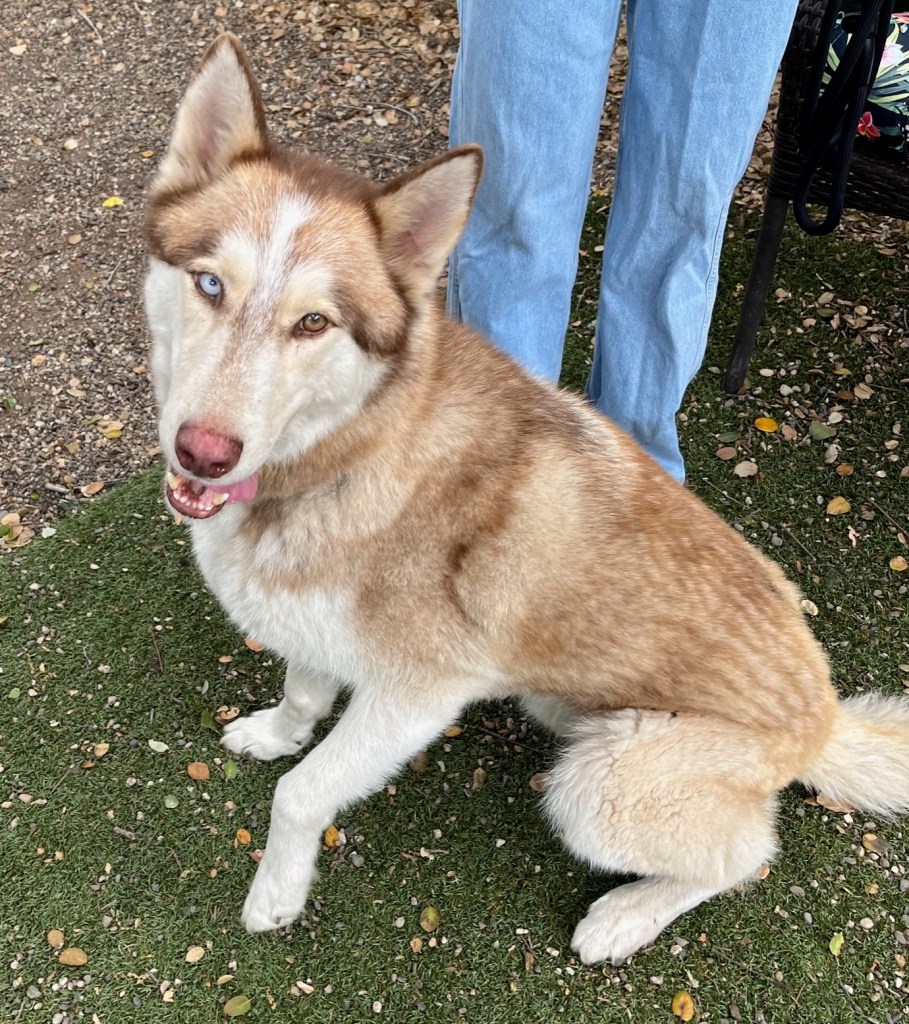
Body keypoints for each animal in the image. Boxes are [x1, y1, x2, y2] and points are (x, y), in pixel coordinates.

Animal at [144, 34, 909, 963]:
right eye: (210, 284)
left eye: (313, 324)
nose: (203, 452)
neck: (347, 451)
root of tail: (825, 715)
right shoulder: (315, 626)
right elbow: (301, 696)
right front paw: (272, 733)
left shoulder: (417, 696)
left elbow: (302, 791)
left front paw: (276, 895)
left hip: (600, 781)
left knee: (746, 855)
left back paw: (625, 916)